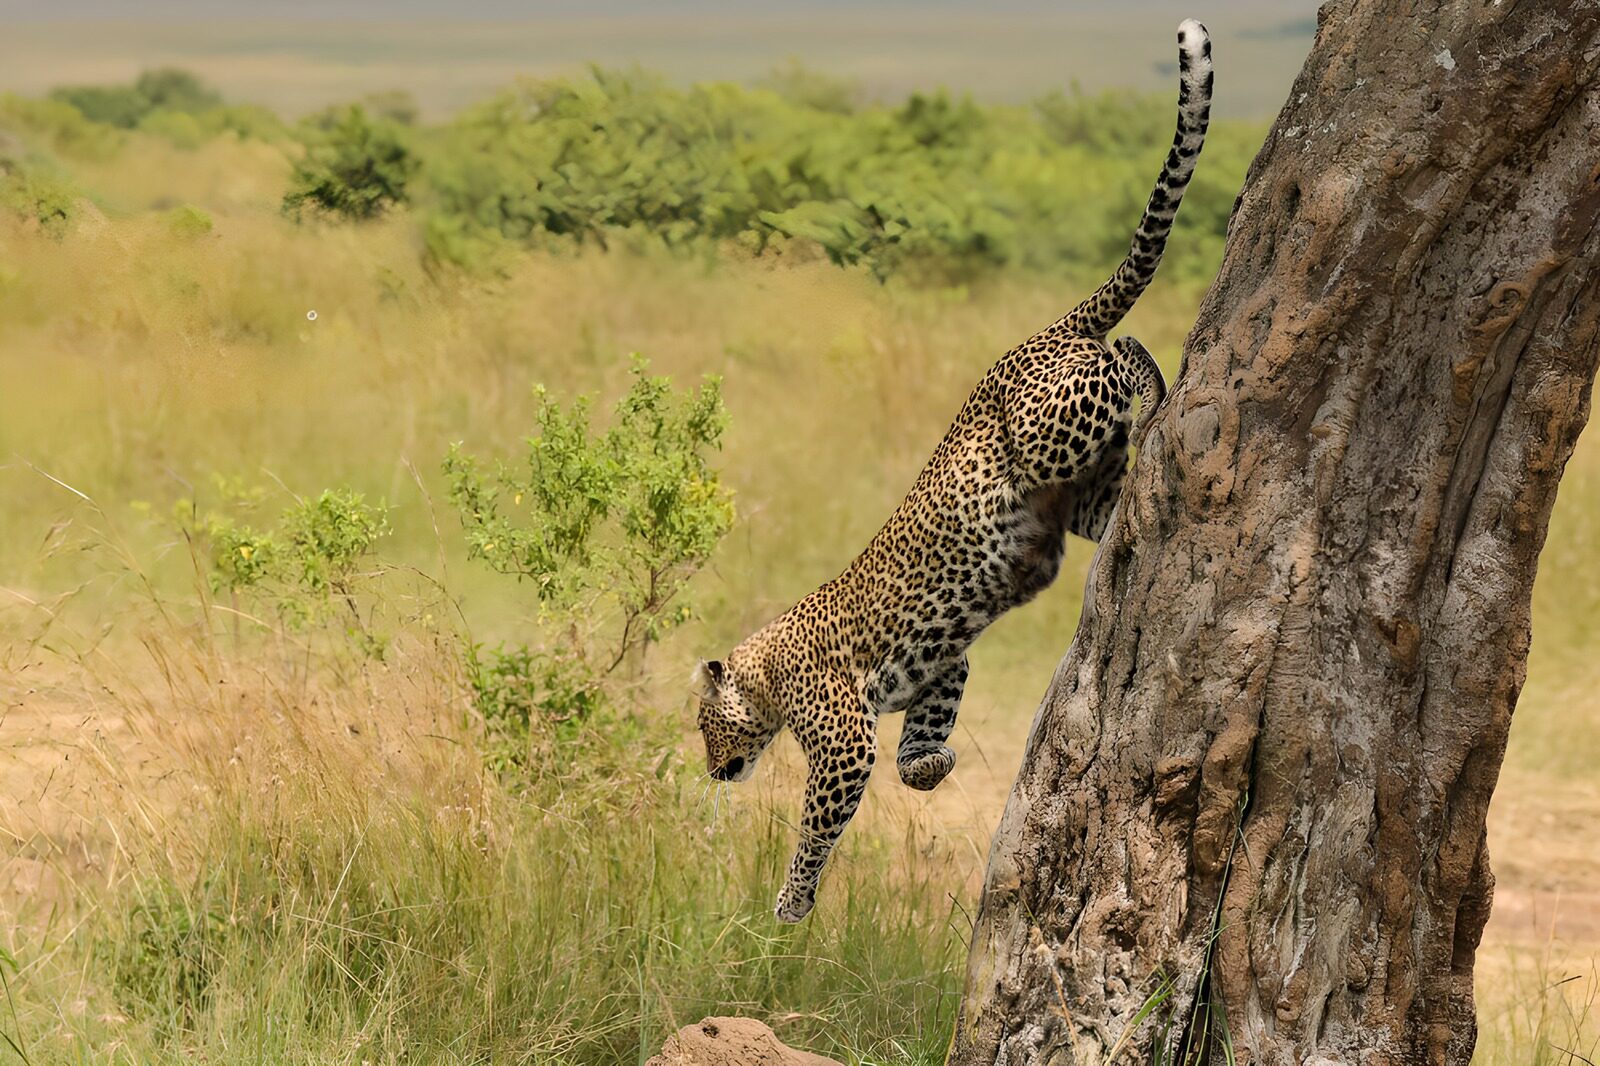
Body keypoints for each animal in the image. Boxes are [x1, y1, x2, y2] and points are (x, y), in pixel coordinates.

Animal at [694, 19, 1213, 923]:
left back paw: (1151, 372)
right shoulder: (945, 665)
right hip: (1077, 492)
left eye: (700, 725)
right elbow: (929, 723)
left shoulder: (842, 741)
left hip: (1054, 429)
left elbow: (818, 823)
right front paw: (928, 769)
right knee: (1116, 485)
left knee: (1127, 357)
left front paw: (791, 902)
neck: (766, 670)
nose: (706, 767)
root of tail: (1038, 334)